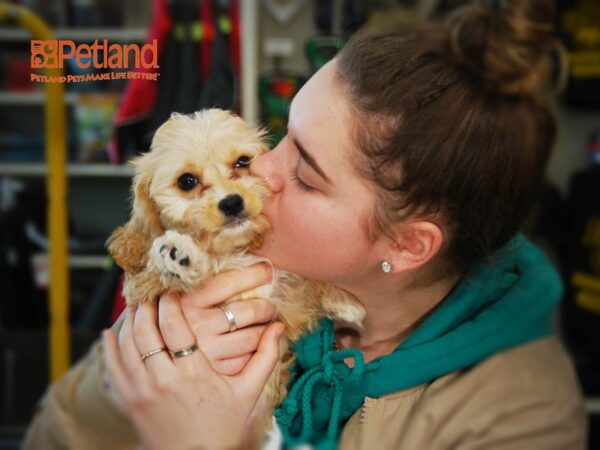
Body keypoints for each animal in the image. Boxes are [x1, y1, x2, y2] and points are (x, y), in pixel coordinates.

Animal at [105, 108, 364, 446]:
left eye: (243, 162)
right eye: (187, 182)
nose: (232, 202)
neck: (232, 251)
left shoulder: (282, 300)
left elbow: (303, 283)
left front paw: (345, 300)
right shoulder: (141, 287)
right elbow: (160, 272)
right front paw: (181, 255)